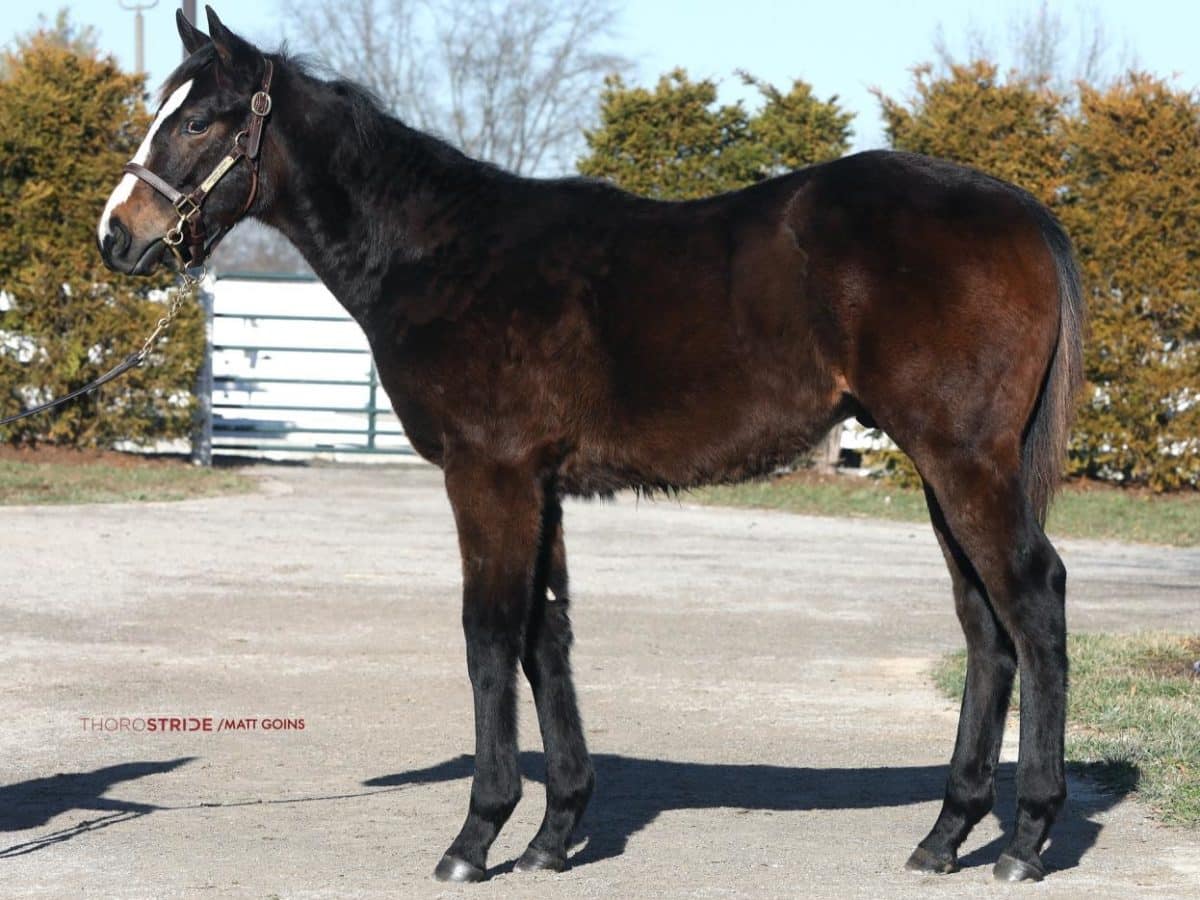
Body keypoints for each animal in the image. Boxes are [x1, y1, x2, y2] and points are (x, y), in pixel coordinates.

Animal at [96, 7, 1089, 888]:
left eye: (196, 119)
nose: (117, 235)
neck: (440, 254)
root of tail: (1024, 213)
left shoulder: (489, 475)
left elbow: (490, 635)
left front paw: (476, 837)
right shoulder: (541, 484)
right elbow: (547, 637)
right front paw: (553, 833)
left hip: (964, 462)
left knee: (1033, 601)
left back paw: (1025, 839)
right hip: (943, 470)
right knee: (984, 624)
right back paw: (946, 835)